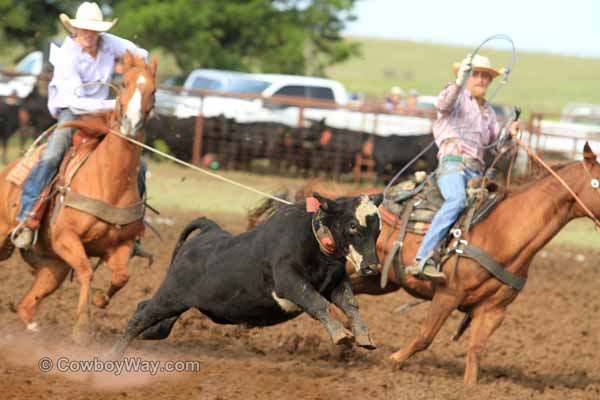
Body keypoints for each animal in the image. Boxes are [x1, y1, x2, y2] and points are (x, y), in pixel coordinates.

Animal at [0, 51, 157, 342]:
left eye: (154, 90)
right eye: (125, 83)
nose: (131, 123)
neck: (108, 182)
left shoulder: (122, 245)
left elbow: (122, 276)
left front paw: (99, 300)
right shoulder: (67, 239)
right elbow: (86, 270)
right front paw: (82, 327)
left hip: (55, 266)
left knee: (27, 305)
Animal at [248, 142, 600, 382]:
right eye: (598, 182)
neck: (503, 232)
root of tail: (326, 201)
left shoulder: (494, 310)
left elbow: (475, 352)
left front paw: (470, 388)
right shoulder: (447, 295)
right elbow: (424, 337)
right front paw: (392, 361)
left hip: (373, 278)